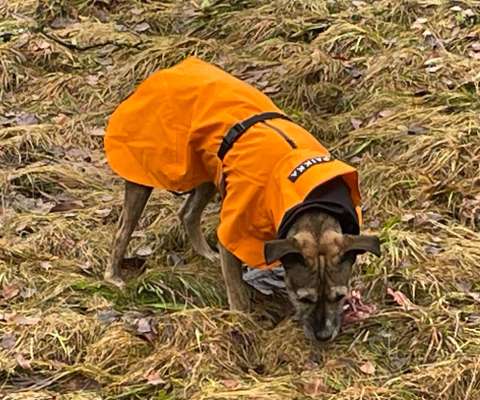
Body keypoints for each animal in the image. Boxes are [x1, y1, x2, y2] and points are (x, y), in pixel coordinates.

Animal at [103, 57, 380, 344]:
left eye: (340, 296)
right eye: (304, 298)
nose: (324, 336)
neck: (310, 203)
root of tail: (166, 71)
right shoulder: (233, 235)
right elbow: (237, 294)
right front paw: (241, 324)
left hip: (209, 171)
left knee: (187, 213)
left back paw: (205, 253)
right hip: (144, 171)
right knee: (123, 230)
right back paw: (114, 276)